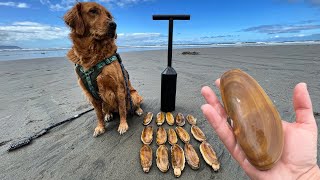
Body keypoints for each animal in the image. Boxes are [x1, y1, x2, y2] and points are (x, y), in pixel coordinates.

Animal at [64, 1, 143, 136]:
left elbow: (122, 109)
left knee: (131, 106)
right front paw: (100, 127)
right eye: (93, 11)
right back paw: (109, 115)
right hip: (105, 102)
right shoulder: (91, 95)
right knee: (107, 110)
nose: (114, 25)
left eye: (109, 16)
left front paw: (123, 125)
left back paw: (138, 110)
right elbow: (98, 114)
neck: (93, 53)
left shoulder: (119, 88)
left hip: (133, 95)